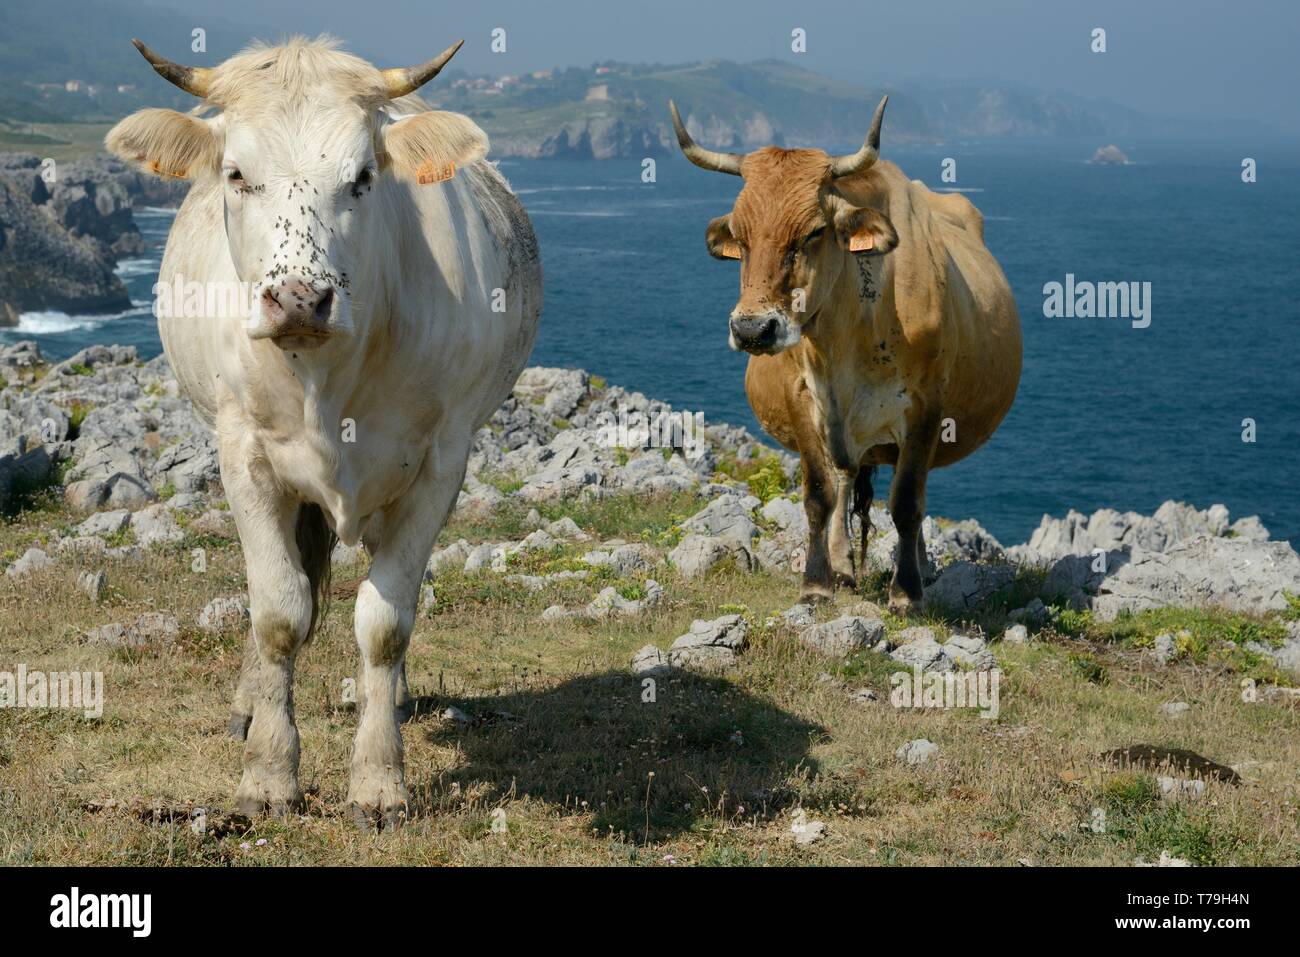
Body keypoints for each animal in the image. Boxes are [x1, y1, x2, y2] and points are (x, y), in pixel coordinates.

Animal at [105, 31, 543, 821]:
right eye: (236, 173)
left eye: (364, 177)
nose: (299, 299)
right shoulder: (244, 454)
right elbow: (280, 610)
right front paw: (268, 773)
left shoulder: (440, 462)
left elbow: (385, 621)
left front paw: (378, 779)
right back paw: (251, 703)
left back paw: (390, 700)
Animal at [676, 97, 1019, 613]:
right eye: (740, 234)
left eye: (815, 231)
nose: (752, 329)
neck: (845, 339)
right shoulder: (801, 398)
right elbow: (819, 494)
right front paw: (817, 582)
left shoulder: (925, 408)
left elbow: (907, 502)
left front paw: (906, 592)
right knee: (843, 480)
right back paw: (842, 567)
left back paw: (919, 568)